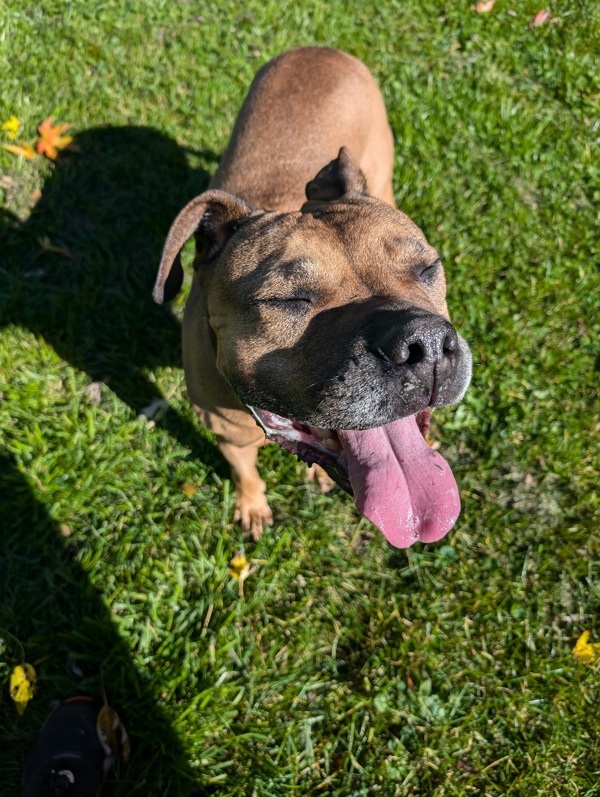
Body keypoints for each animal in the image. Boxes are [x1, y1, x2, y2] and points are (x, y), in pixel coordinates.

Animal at [152, 46, 472, 548]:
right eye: (290, 300)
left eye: (426, 269)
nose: (427, 344)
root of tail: (322, 49)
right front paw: (252, 506)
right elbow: (245, 474)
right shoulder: (227, 434)